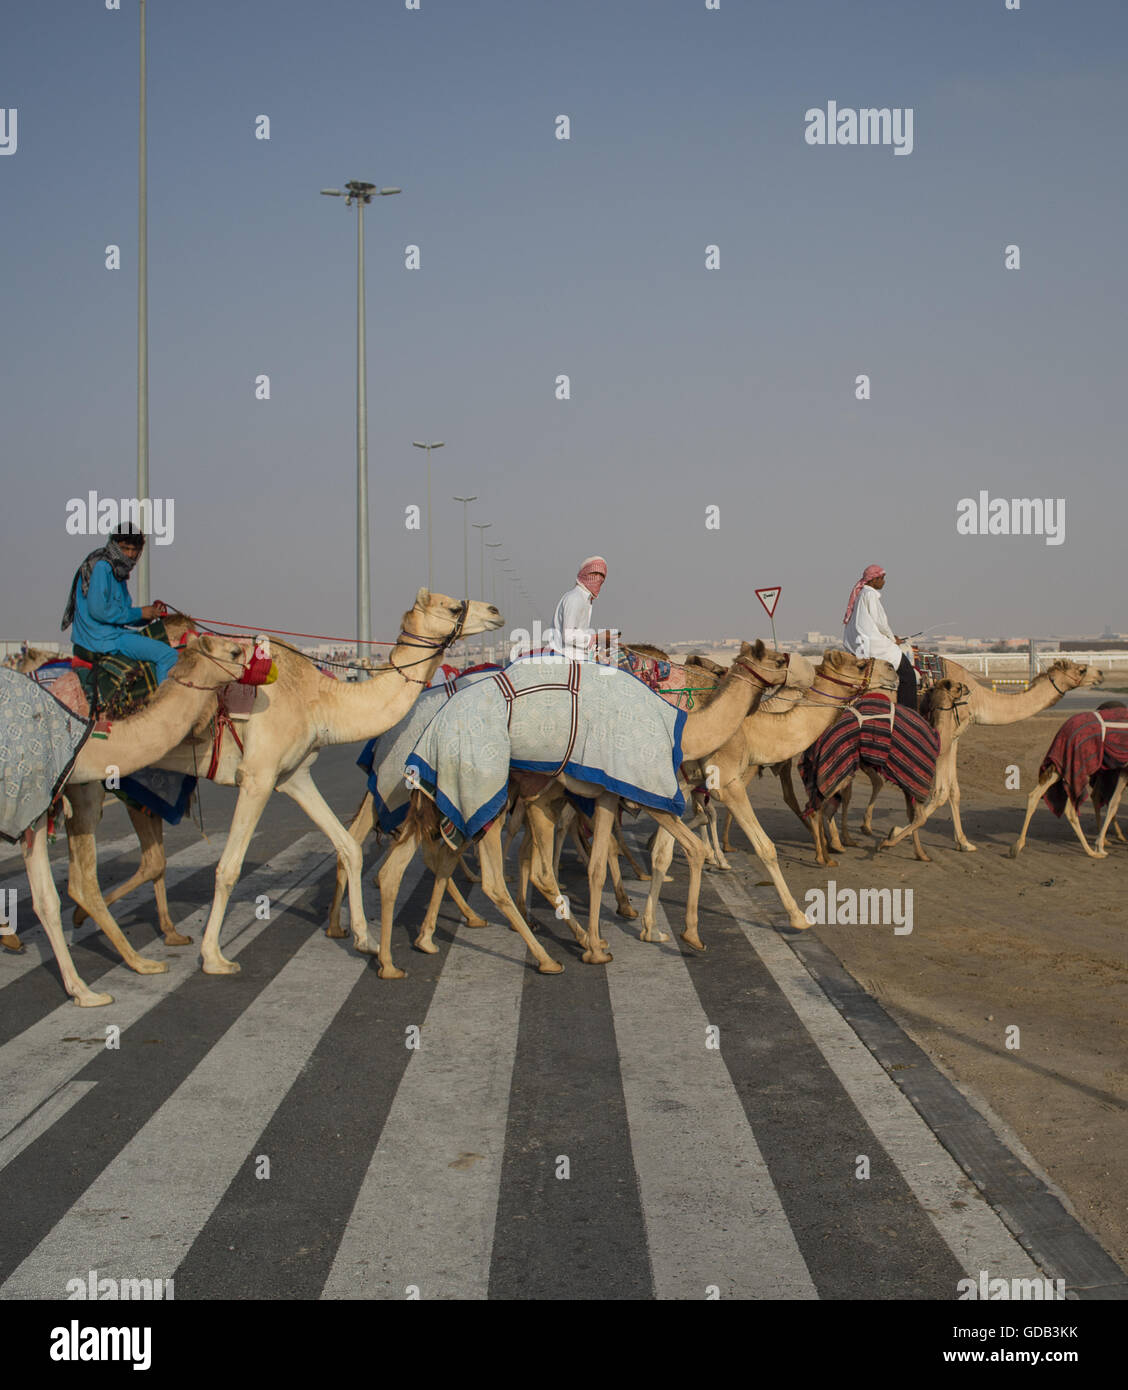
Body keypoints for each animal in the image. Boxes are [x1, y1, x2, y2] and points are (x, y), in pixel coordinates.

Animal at [13, 634, 257, 1005]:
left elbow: (154, 862)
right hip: (84, 794)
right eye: (233, 651)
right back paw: (135, 962)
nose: (263, 663)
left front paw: (170, 933)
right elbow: (143, 864)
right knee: (83, 880)